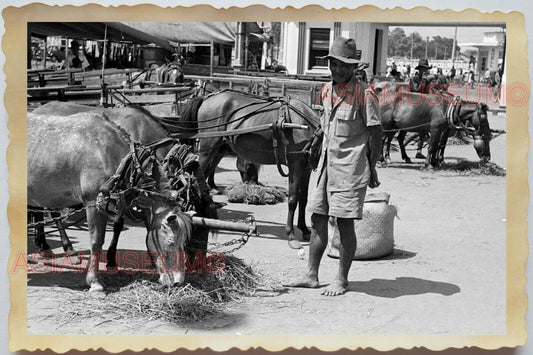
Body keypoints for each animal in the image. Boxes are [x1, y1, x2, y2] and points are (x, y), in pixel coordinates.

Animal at [29, 103, 214, 270]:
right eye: (197, 228)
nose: (199, 263)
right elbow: (120, 224)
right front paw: (112, 258)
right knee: (53, 213)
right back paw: (68, 249)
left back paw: (43, 244)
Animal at [178, 90, 320, 249]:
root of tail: (208, 97)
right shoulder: (295, 166)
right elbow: (293, 200)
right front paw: (291, 235)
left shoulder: (306, 169)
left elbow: (303, 199)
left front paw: (304, 229)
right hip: (208, 149)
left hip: (216, 149)